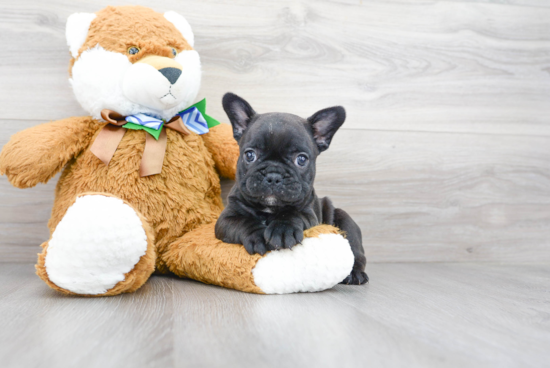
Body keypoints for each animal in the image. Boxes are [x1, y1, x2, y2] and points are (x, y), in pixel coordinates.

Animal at [218, 92, 368, 284]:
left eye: (301, 159)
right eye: (249, 155)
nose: (274, 175)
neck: (270, 208)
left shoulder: (309, 213)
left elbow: (293, 214)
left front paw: (282, 230)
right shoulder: (225, 220)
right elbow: (243, 221)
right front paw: (257, 235)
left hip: (345, 222)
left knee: (355, 253)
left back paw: (355, 274)